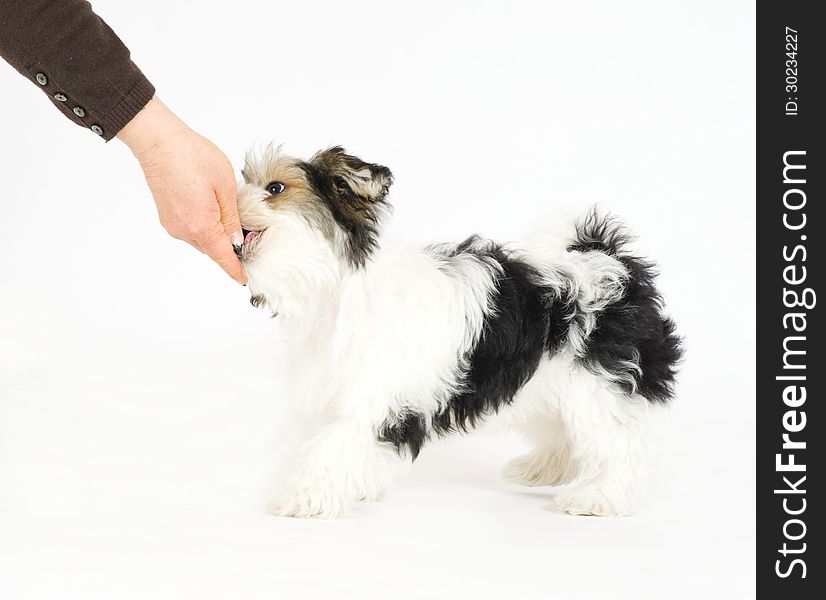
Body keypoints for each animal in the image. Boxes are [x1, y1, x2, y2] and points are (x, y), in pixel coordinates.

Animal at [235, 146, 680, 520]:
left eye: (275, 188)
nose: (231, 208)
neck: (340, 287)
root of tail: (611, 263)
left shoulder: (377, 398)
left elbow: (336, 446)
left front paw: (302, 494)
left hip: (600, 380)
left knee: (617, 440)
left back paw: (599, 496)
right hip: (544, 381)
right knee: (563, 429)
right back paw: (541, 468)